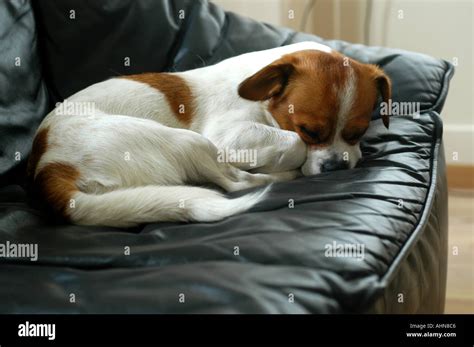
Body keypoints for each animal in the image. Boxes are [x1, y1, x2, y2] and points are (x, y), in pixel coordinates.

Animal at [25, 41, 390, 228]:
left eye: (358, 132)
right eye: (309, 130)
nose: (336, 167)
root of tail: (49, 167)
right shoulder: (230, 137)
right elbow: (293, 145)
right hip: (190, 141)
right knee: (235, 183)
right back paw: (282, 176)